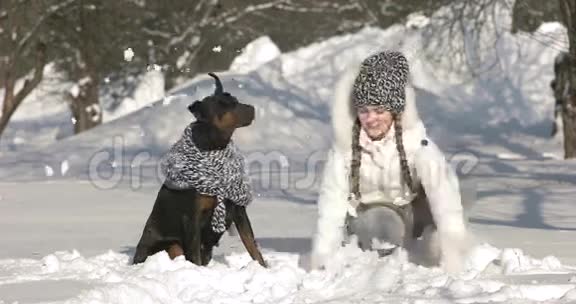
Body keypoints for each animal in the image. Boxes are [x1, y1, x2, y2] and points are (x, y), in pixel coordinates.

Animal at [132, 72, 266, 268]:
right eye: (224, 105)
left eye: (235, 100)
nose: (252, 108)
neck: (215, 147)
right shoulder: (192, 218)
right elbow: (194, 254)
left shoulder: (238, 211)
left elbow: (253, 247)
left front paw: (265, 268)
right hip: (171, 245)